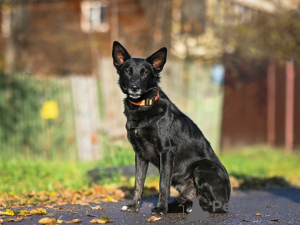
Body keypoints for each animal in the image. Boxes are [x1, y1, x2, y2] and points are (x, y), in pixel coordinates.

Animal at [111, 41, 231, 215]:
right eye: (128, 71)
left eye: (145, 72)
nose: (134, 87)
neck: (144, 106)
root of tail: (227, 197)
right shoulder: (140, 154)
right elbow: (138, 184)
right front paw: (134, 206)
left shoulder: (166, 151)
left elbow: (163, 183)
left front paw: (161, 209)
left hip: (203, 167)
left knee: (215, 206)